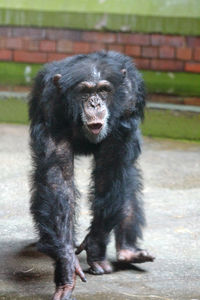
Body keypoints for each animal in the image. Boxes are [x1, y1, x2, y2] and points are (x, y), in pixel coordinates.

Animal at [29, 51, 155, 300]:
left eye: (104, 90)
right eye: (85, 92)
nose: (95, 103)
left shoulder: (128, 103)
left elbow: (111, 170)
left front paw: (95, 247)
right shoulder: (49, 107)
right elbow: (57, 179)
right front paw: (66, 264)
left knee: (128, 174)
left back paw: (128, 250)